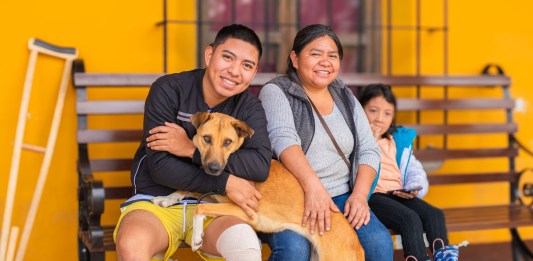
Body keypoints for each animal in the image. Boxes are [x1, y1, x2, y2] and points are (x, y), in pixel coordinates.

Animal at [152, 111, 364, 260]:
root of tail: (358, 245)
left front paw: (197, 237)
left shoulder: (248, 212)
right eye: (207, 138)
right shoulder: (215, 195)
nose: (213, 169)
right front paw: (166, 199)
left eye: (227, 142)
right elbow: (189, 189)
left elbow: (200, 207)